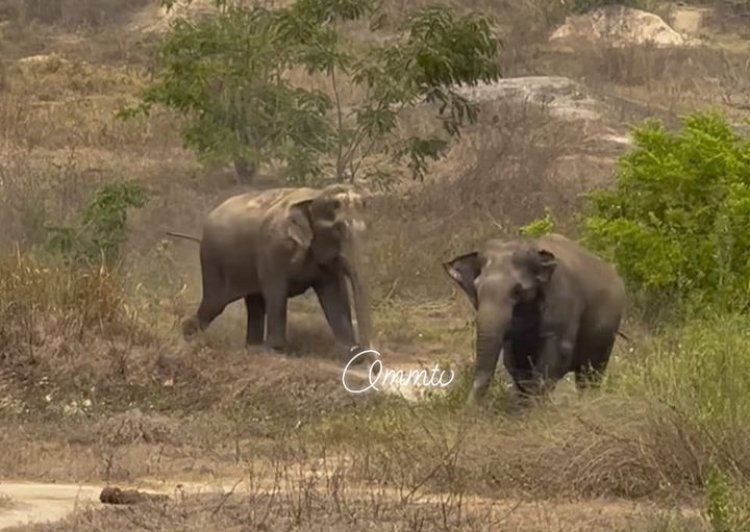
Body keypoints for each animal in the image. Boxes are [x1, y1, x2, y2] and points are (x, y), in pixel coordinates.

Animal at [167, 184, 374, 356]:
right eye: (338, 230)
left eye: (367, 229)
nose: (366, 353)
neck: (314, 196)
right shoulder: (274, 248)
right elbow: (276, 291)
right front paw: (277, 349)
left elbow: (335, 295)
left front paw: (350, 351)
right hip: (212, 260)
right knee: (215, 303)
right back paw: (187, 332)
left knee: (253, 302)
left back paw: (252, 347)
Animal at [442, 233, 627, 406]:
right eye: (477, 288)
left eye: (517, 290)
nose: (468, 407)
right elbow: (513, 360)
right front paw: (523, 406)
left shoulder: (563, 298)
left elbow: (558, 353)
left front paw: (535, 408)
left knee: (591, 372)